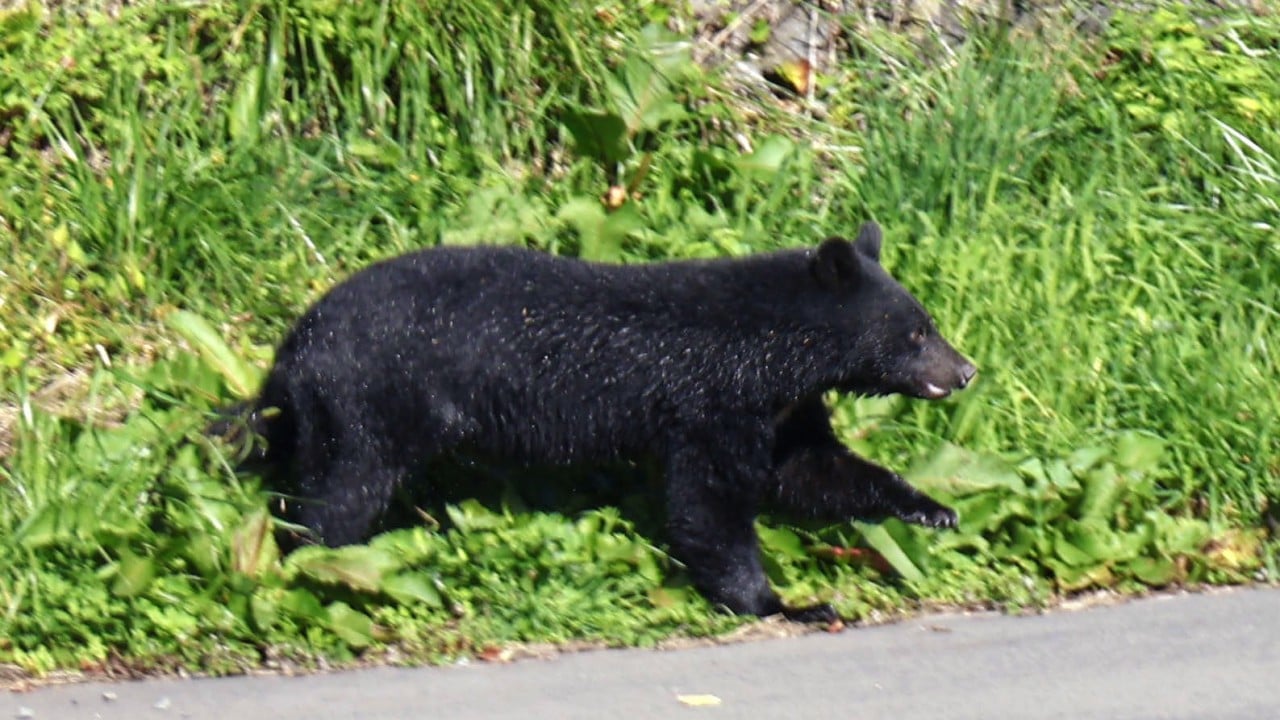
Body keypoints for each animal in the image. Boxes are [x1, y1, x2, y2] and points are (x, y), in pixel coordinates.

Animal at [232, 220, 976, 623]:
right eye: (915, 332)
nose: (965, 369)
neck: (772, 349)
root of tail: (291, 350)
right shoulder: (711, 403)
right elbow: (709, 505)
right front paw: (781, 603)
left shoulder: (782, 410)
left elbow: (812, 469)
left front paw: (931, 507)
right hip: (368, 402)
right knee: (340, 496)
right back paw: (316, 571)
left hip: (328, 411)